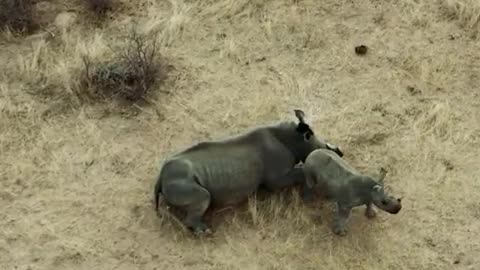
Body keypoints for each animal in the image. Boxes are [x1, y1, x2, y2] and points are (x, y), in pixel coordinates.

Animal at [153, 108, 342, 235]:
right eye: (323, 149)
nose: (340, 153)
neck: (293, 139)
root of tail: (160, 178)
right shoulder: (276, 178)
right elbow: (299, 173)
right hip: (179, 180)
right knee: (204, 196)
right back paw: (205, 231)